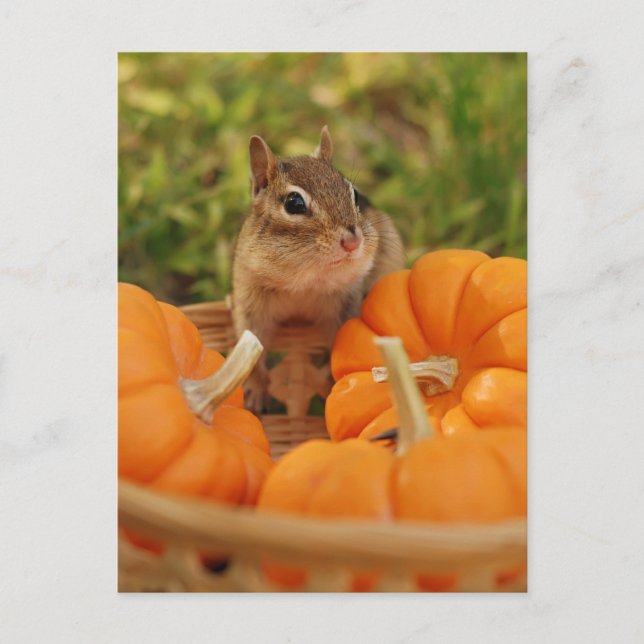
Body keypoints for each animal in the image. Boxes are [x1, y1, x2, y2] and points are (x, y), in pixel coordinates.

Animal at [231, 126, 405, 414]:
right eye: (294, 203)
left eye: (355, 195)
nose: (352, 241)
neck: (304, 282)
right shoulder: (250, 303)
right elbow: (252, 348)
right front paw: (256, 391)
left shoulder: (346, 306)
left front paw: (331, 383)